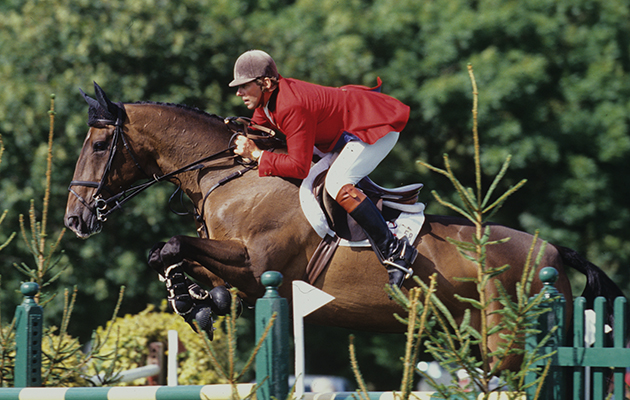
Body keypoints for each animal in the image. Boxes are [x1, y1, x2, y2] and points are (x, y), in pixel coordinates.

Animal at [65, 83, 628, 370]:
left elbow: (171, 246)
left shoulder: (257, 265)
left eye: (100, 145)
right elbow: (179, 258)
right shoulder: (238, 271)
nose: (75, 219)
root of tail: (552, 250)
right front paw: (198, 302)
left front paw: (193, 300)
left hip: (508, 339)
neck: (230, 176)